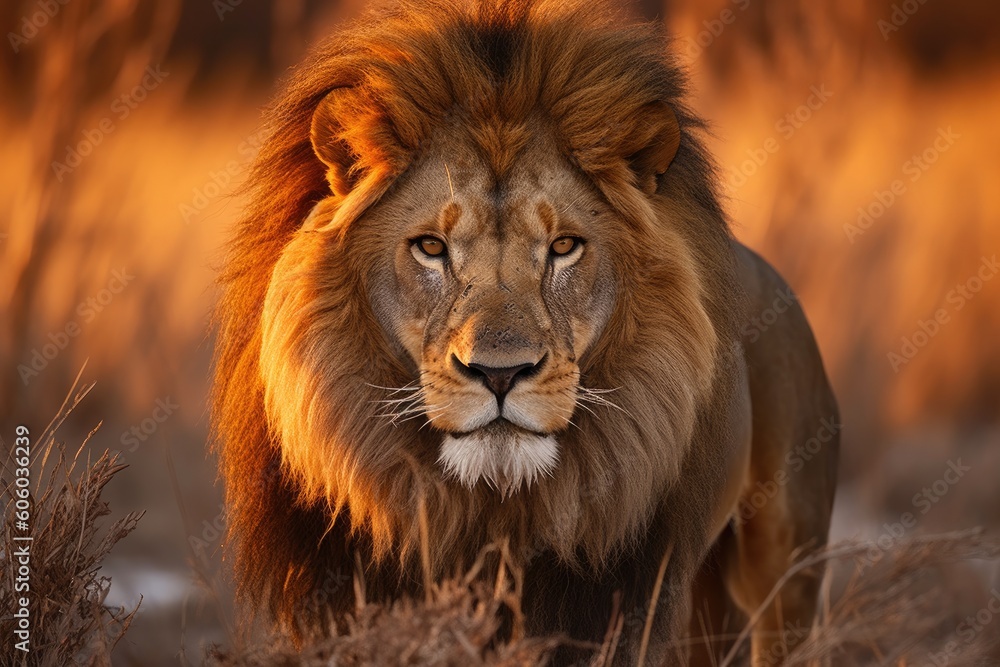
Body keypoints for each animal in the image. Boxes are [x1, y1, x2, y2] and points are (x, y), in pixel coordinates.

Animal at [212, 1, 839, 664]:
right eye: (430, 247)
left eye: (563, 247)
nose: (500, 373)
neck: (492, 514)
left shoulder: (616, 607)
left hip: (785, 559)